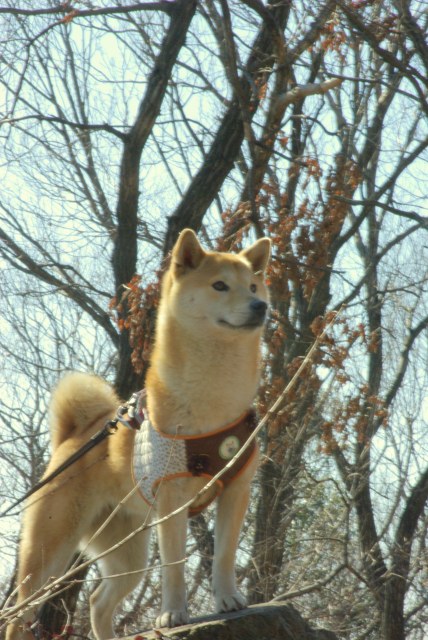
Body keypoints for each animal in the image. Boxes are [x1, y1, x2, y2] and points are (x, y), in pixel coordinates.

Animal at [6, 229, 270, 639]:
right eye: (220, 285)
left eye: (254, 286)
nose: (260, 306)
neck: (215, 397)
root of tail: (70, 439)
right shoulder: (171, 500)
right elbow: (174, 567)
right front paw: (172, 614)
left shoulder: (236, 488)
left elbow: (224, 555)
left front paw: (228, 598)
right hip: (47, 555)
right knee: (18, 616)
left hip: (127, 553)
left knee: (98, 601)